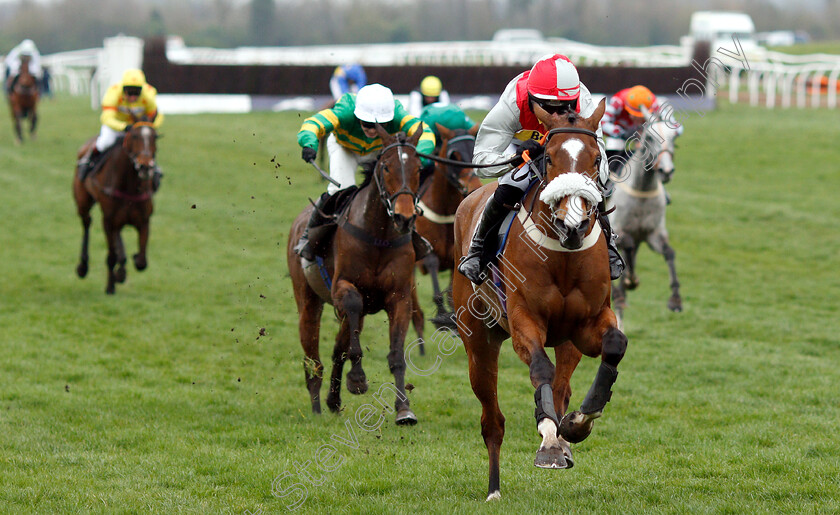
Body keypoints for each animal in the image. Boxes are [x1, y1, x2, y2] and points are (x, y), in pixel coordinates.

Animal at [73, 121, 158, 296]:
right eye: (134, 136)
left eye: (156, 137)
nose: (145, 167)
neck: (130, 186)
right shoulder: (108, 220)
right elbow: (111, 255)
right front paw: (110, 286)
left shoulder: (144, 220)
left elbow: (142, 261)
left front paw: (125, 267)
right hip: (83, 202)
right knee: (86, 224)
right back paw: (83, 267)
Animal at [288, 127, 424, 426]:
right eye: (386, 167)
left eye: (418, 167)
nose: (404, 217)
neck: (379, 235)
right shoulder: (343, 288)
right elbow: (352, 312)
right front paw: (358, 379)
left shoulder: (400, 297)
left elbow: (396, 354)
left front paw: (404, 409)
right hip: (308, 301)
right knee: (313, 357)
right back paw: (317, 406)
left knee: (337, 348)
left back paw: (333, 400)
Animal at [412, 124, 480, 330]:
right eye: (454, 156)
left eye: (474, 151)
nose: (474, 187)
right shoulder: (428, 252)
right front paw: (442, 314)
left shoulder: (454, 256)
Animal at [450, 100, 628, 500]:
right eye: (549, 158)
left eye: (597, 158)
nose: (573, 224)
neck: (563, 255)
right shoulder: (522, 321)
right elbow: (539, 369)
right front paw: (547, 439)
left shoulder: (588, 323)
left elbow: (614, 344)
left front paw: (578, 424)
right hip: (478, 342)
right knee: (492, 421)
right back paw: (495, 488)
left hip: (567, 341)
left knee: (562, 388)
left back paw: (563, 440)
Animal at [604, 112, 684, 330]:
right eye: (649, 137)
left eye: (674, 137)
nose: (666, 171)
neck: (641, 190)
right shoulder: (618, 231)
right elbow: (626, 245)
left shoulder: (653, 234)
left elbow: (670, 253)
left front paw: (675, 300)